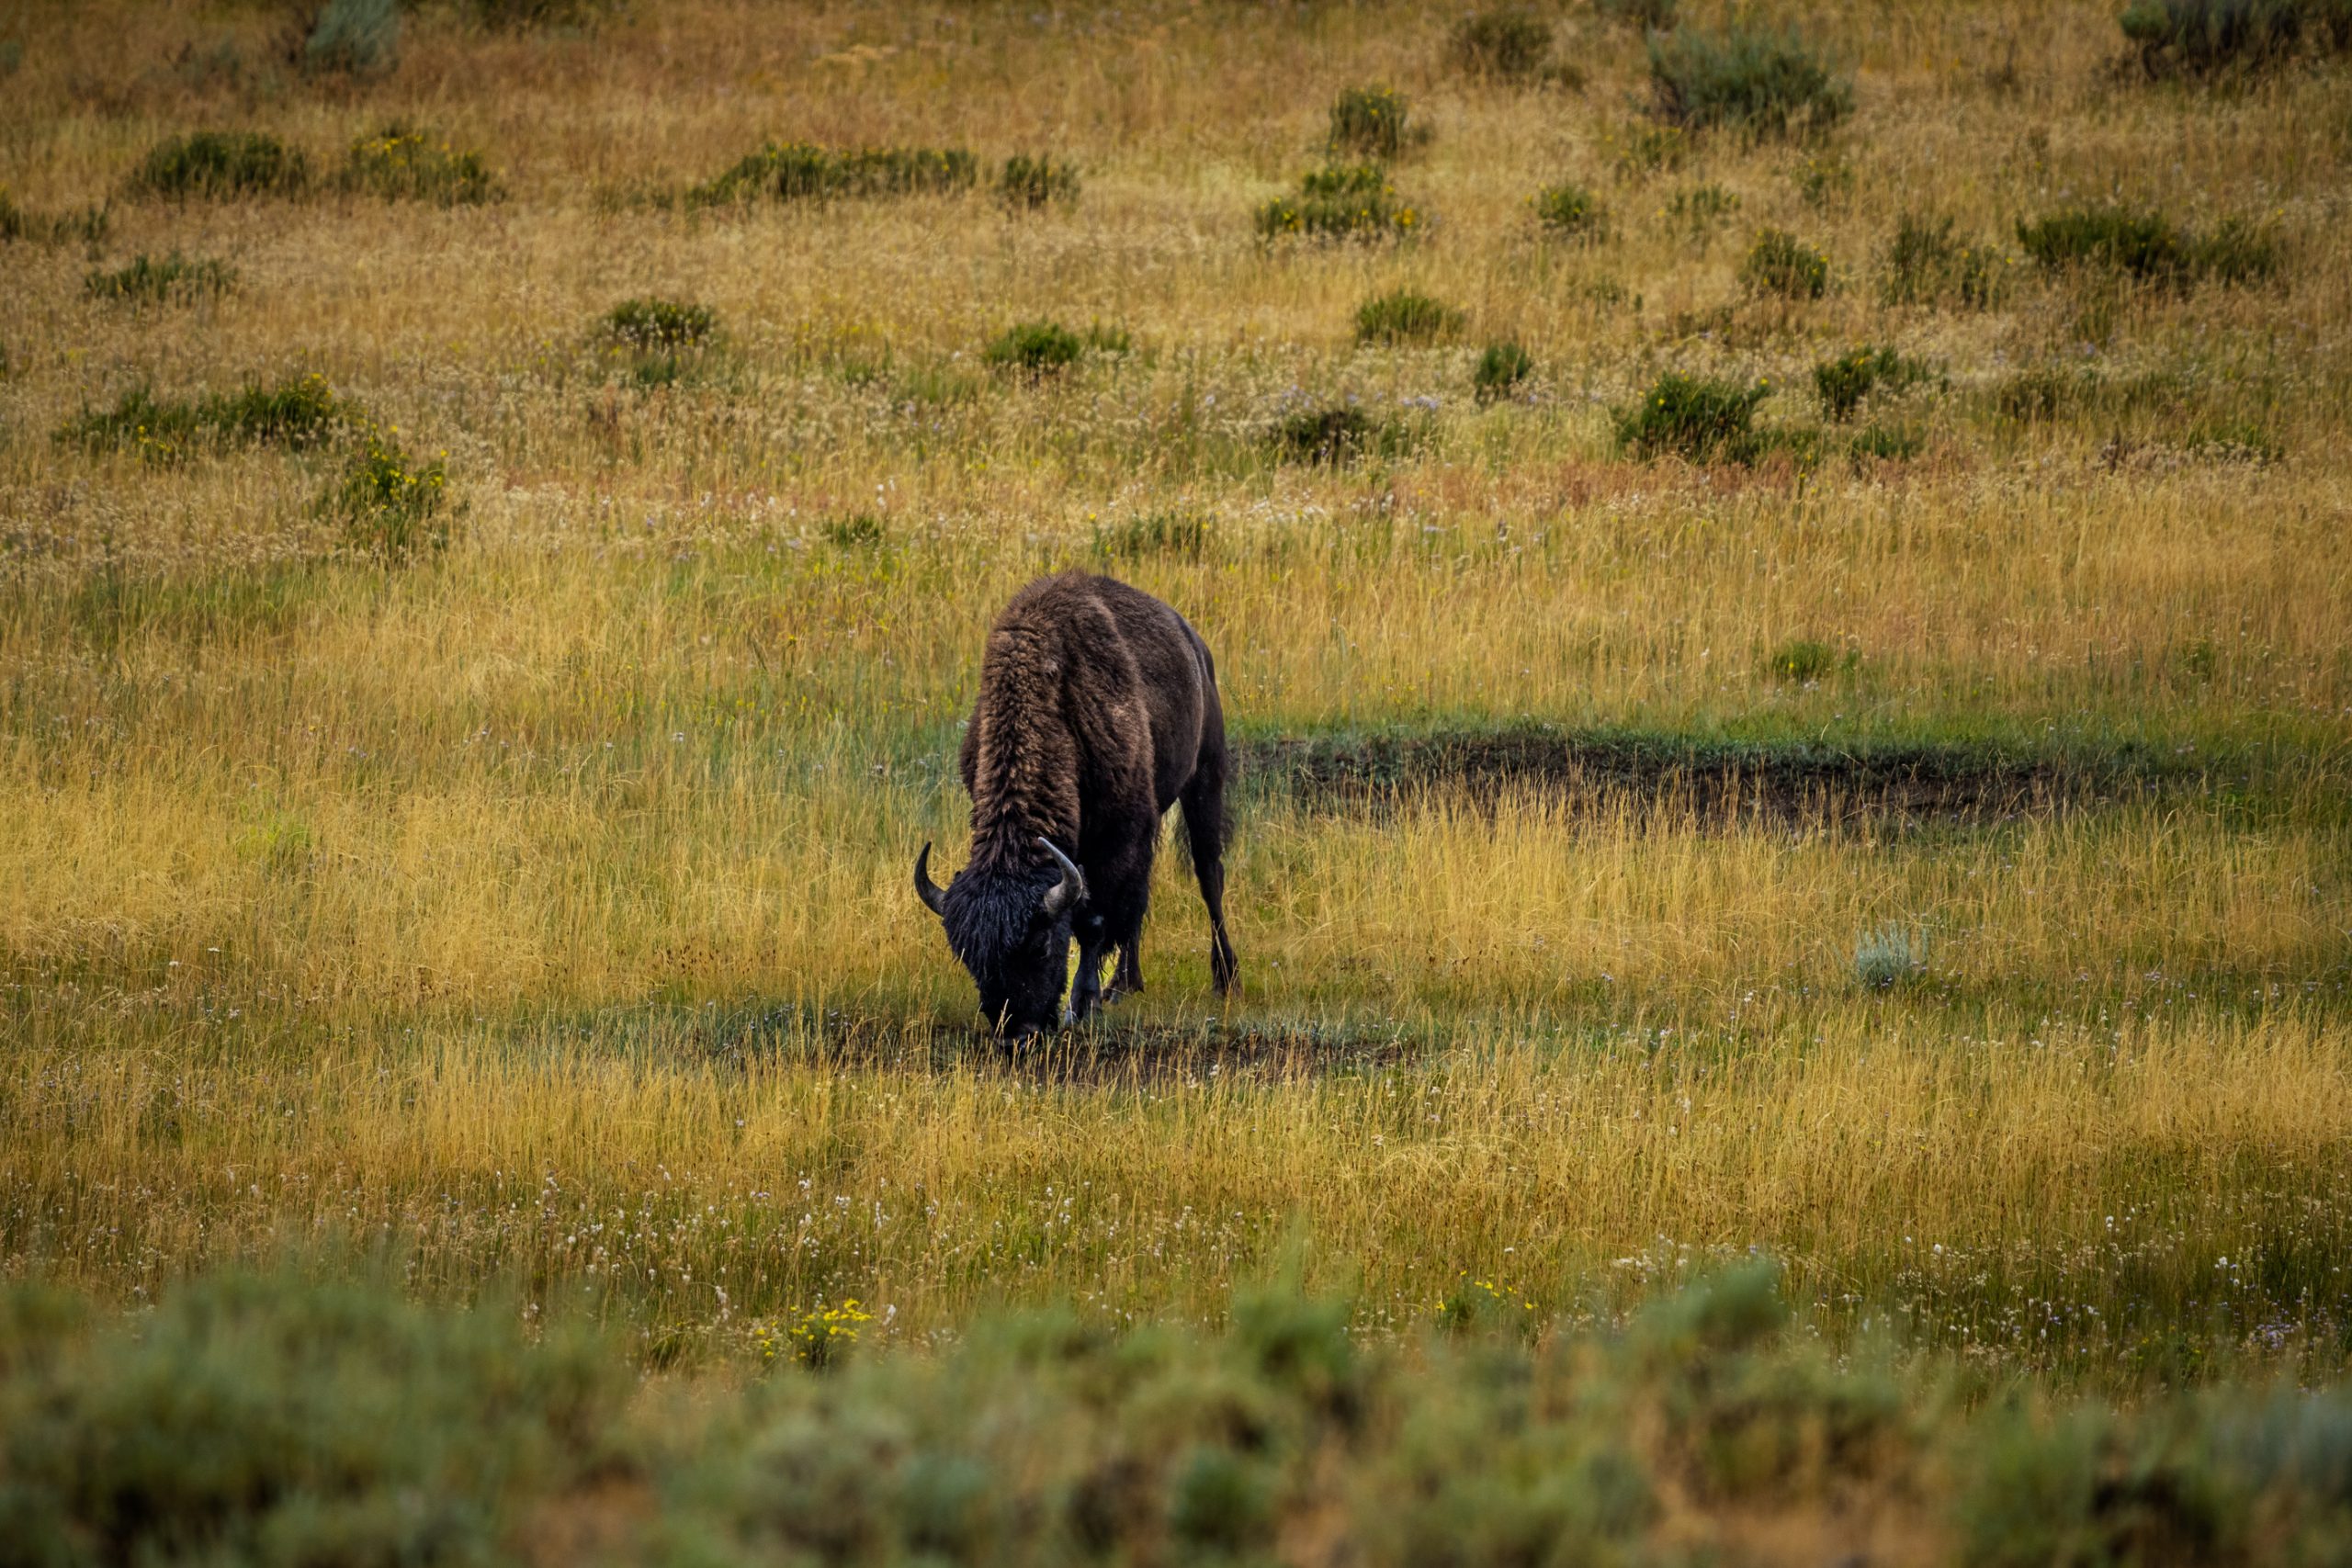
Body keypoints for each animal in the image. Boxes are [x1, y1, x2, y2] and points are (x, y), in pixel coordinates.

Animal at [914, 572, 1238, 1036]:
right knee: (1141, 899)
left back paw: (1224, 978)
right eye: (970, 958)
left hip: (1204, 780)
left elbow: (1094, 918)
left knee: (1209, 875)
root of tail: (1195, 645)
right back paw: (1124, 984)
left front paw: (1082, 1003)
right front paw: (1093, 996)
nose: (1017, 1033)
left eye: (1041, 945)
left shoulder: (1115, 837)